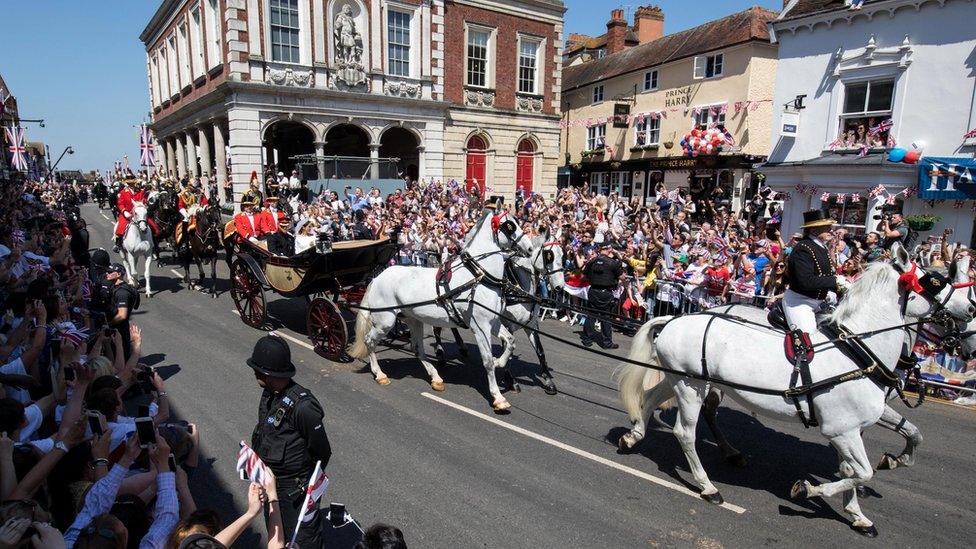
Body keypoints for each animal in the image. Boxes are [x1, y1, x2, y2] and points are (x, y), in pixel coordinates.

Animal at [350, 212, 532, 408]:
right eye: (510, 226)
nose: (529, 248)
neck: (478, 277)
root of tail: (377, 278)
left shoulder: (494, 322)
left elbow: (511, 341)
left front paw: (500, 362)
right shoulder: (480, 326)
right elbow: (487, 361)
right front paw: (498, 397)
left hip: (413, 320)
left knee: (417, 348)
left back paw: (435, 378)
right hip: (385, 321)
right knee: (369, 341)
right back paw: (380, 374)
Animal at [612, 244, 972, 536]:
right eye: (934, 281)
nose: (969, 311)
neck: (858, 352)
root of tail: (674, 320)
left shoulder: (852, 428)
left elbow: (871, 459)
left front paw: (858, 512)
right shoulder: (842, 430)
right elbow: (862, 472)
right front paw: (810, 491)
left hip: (683, 381)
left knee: (651, 399)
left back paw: (635, 436)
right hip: (691, 387)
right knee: (685, 433)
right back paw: (707, 486)